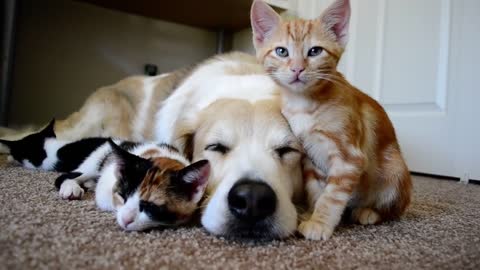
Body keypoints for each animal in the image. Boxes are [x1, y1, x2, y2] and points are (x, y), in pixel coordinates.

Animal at [0, 119, 210, 231]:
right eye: (123, 196)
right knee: (68, 176)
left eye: (150, 206)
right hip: (95, 160)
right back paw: (72, 187)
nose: (125, 220)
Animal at [251, 0, 412, 240]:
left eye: (315, 51)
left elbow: (332, 195)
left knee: (396, 209)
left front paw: (319, 222)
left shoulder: (350, 158)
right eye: (281, 51)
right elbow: (316, 190)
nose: (297, 68)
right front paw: (312, 213)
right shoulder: (310, 157)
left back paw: (369, 212)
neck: (304, 104)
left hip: (395, 169)